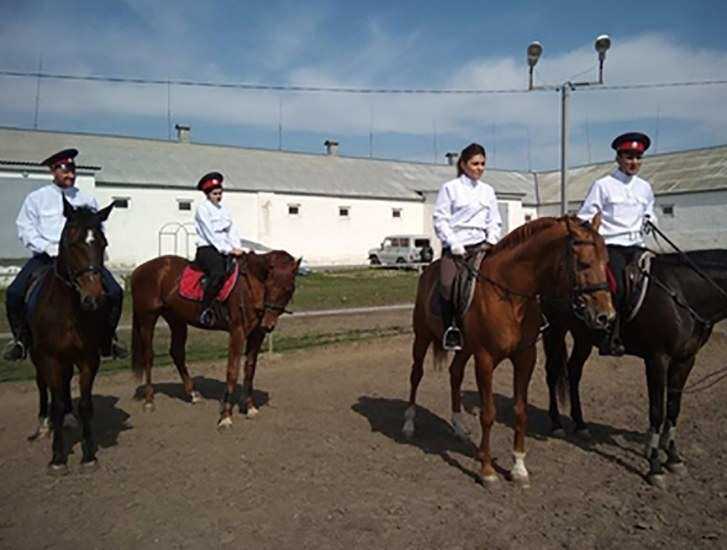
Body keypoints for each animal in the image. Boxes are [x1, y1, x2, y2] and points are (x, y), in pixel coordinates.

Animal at [27, 198, 115, 474]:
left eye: (102, 243)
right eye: (72, 242)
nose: (94, 297)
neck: (69, 311)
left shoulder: (88, 358)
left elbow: (85, 405)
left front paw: (89, 455)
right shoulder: (49, 357)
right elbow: (54, 403)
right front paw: (57, 457)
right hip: (37, 357)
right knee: (43, 386)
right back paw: (44, 425)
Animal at [131, 252, 298, 430]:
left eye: (289, 289)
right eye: (269, 285)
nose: (268, 324)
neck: (250, 286)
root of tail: (139, 269)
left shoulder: (257, 334)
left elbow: (250, 369)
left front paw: (250, 407)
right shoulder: (237, 332)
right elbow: (232, 371)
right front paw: (225, 417)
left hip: (176, 319)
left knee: (177, 353)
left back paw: (193, 394)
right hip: (147, 318)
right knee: (148, 356)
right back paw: (149, 401)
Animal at [404, 216, 616, 488]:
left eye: (606, 262)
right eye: (584, 263)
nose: (606, 316)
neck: (511, 297)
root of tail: (429, 271)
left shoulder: (525, 358)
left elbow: (520, 411)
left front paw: (518, 468)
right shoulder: (485, 360)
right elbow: (488, 414)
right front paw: (487, 471)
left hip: (465, 348)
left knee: (455, 373)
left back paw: (459, 427)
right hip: (421, 338)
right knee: (416, 375)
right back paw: (409, 423)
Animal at [544, 249, 727, 488]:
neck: (682, 294)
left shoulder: (686, 360)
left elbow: (673, 409)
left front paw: (674, 458)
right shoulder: (657, 360)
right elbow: (657, 412)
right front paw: (655, 467)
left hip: (583, 337)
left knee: (574, 373)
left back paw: (581, 424)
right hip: (555, 329)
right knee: (552, 373)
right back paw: (556, 423)